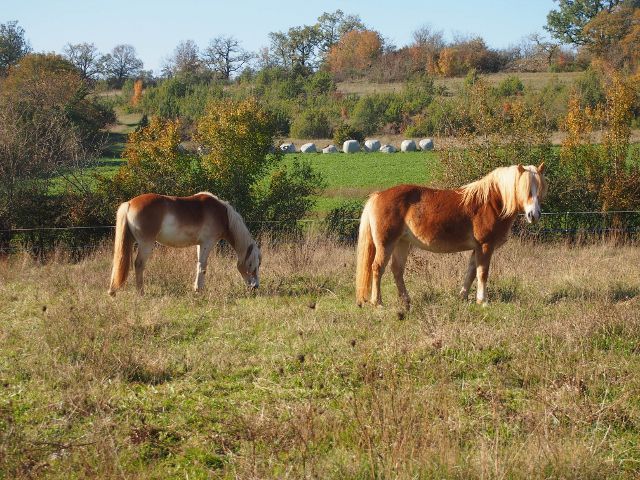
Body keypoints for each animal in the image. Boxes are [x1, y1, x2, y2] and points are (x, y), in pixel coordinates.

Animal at [108, 192, 261, 296]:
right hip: (146, 244)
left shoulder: (200, 244)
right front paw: (199, 290)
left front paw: (197, 288)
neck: (223, 215)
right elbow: (203, 266)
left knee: (118, 262)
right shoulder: (207, 243)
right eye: (252, 264)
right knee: (139, 265)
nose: (255, 287)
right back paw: (141, 293)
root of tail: (129, 203)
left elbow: (199, 264)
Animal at [355, 163, 547, 308]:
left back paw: (406, 301)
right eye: (526, 190)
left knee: (397, 270)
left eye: (539, 189)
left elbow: (471, 272)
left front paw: (463, 297)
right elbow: (482, 273)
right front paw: (483, 301)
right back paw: (378, 303)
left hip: (402, 243)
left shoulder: (477, 248)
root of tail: (378, 195)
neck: (491, 202)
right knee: (377, 268)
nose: (534, 215)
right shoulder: (486, 245)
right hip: (386, 243)